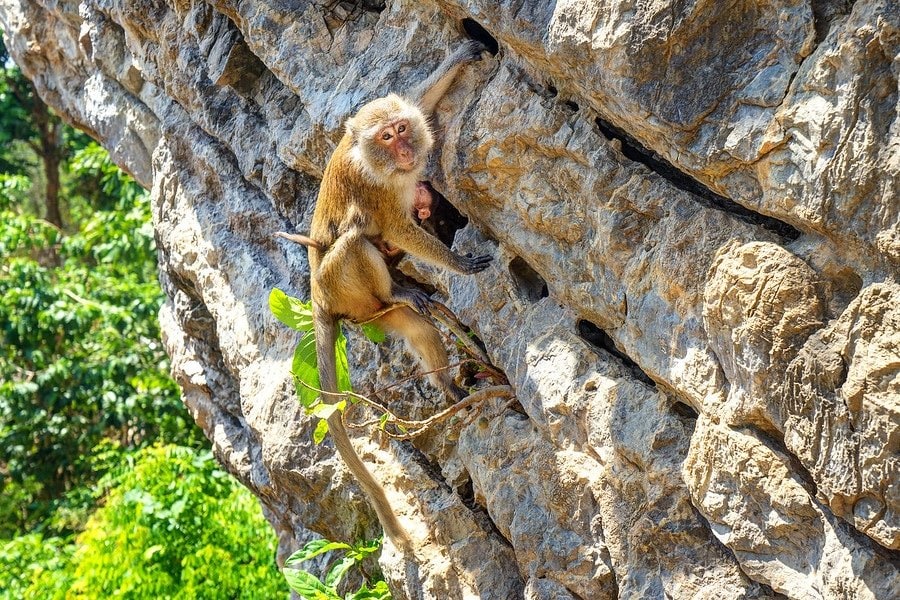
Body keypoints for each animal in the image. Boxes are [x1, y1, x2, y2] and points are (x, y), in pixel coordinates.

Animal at [299, 40, 491, 552]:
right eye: (385, 137)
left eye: (402, 128)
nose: (405, 149)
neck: (377, 163)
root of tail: (317, 299)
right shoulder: (378, 190)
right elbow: (397, 227)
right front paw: (458, 263)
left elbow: (423, 98)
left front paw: (462, 56)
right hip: (344, 288)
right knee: (354, 241)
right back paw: (399, 286)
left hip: (373, 318)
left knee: (418, 328)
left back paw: (447, 386)